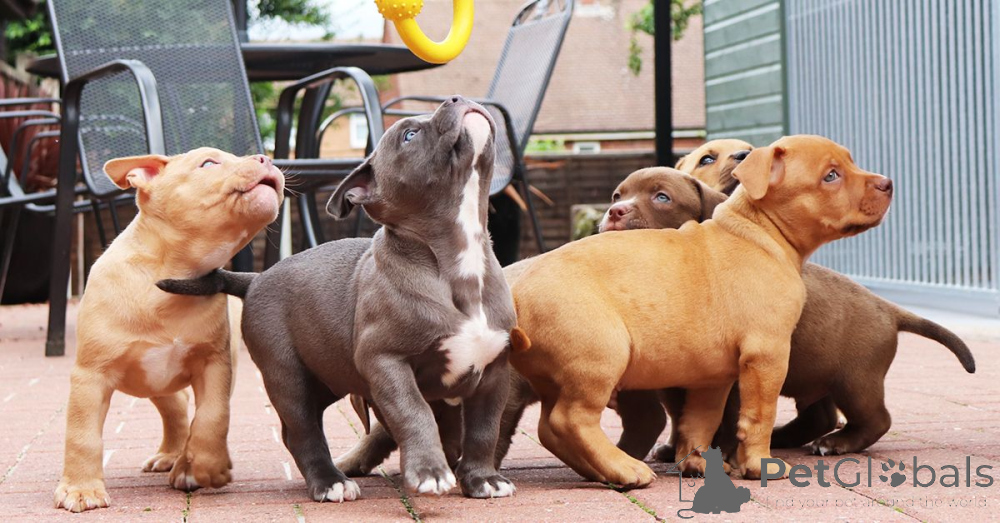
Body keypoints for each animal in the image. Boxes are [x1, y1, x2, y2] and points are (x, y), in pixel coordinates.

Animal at [54, 148, 284, 512]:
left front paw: (206, 467)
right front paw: (81, 489)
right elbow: (82, 435)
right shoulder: (91, 376)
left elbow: (211, 416)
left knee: (182, 409)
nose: (266, 157)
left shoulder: (215, 365)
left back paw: (181, 460)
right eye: (208, 163)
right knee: (174, 407)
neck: (172, 280)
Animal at [157, 97, 518, 502]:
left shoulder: (495, 371)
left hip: (328, 377)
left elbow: (484, 429)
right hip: (288, 375)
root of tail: (257, 279)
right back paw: (330, 482)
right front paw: (429, 472)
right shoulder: (385, 361)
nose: (456, 98)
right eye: (409, 135)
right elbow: (414, 412)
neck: (457, 258)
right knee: (302, 430)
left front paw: (482, 479)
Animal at [507, 135, 893, 486]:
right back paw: (625, 468)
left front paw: (697, 463)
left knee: (549, 428)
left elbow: (699, 422)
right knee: (571, 420)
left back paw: (602, 471)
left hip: (554, 376)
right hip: (599, 358)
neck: (759, 232)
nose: (888, 183)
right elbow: (758, 418)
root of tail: (516, 293)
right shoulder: (766, 355)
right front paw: (759, 465)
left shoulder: (712, 377)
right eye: (831, 176)